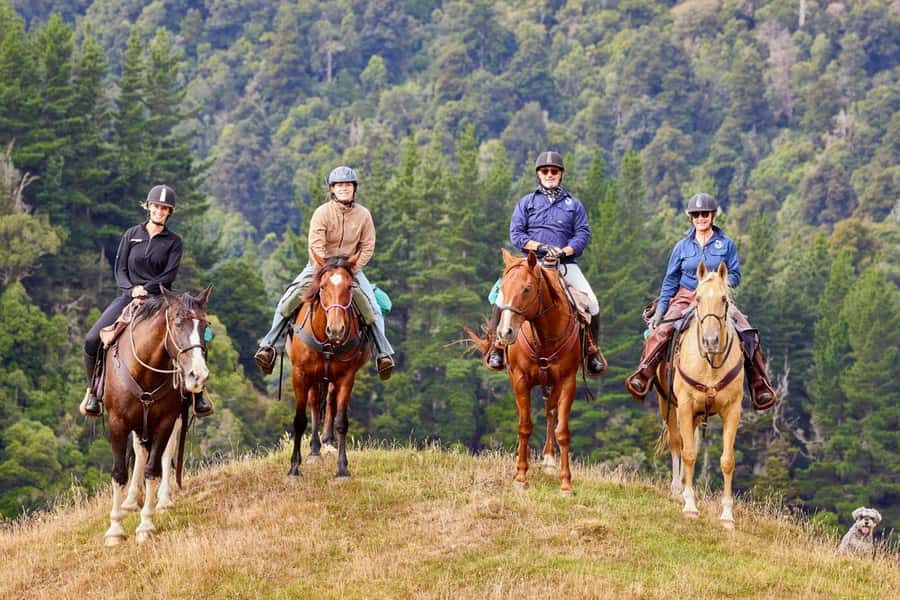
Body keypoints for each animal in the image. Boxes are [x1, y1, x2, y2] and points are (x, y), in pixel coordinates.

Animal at [102, 286, 212, 545]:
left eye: (204, 325)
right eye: (177, 324)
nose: (198, 375)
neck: (144, 368)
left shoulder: (166, 421)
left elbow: (153, 469)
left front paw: (146, 525)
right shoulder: (117, 422)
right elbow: (119, 473)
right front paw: (115, 529)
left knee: (165, 453)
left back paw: (163, 500)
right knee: (140, 451)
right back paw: (131, 500)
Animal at [285, 253, 370, 480]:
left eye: (350, 286)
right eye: (322, 286)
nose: (336, 329)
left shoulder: (347, 378)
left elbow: (341, 421)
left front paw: (342, 469)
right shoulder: (300, 374)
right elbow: (299, 420)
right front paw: (294, 469)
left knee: (329, 401)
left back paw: (327, 443)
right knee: (315, 404)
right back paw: (314, 451)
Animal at [494, 248, 585, 496]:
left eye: (527, 289)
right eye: (502, 289)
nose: (505, 332)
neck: (544, 337)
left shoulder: (567, 381)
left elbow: (562, 431)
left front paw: (566, 484)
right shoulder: (519, 379)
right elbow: (524, 426)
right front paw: (520, 477)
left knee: (551, 413)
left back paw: (549, 461)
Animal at [655, 261, 744, 528]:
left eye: (724, 299)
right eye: (697, 298)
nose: (710, 341)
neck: (710, 364)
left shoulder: (733, 410)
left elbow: (727, 460)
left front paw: (727, 515)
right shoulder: (684, 406)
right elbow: (689, 454)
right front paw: (690, 506)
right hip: (667, 404)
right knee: (677, 443)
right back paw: (677, 490)